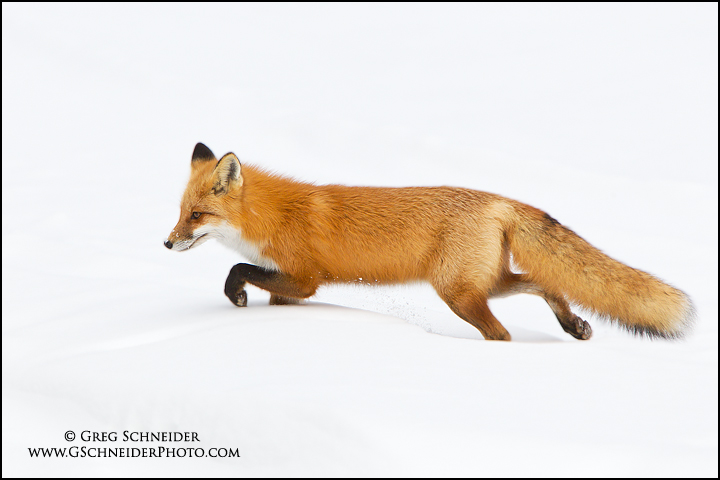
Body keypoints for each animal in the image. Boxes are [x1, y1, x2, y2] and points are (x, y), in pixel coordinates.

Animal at [165, 142, 694, 341]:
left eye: (196, 215)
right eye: (179, 212)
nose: (167, 244)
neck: (272, 217)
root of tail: (500, 200)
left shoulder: (305, 278)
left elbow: (238, 270)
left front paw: (235, 296)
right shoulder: (291, 287)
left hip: (458, 293)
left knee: (502, 332)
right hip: (481, 283)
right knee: (544, 283)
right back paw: (573, 325)